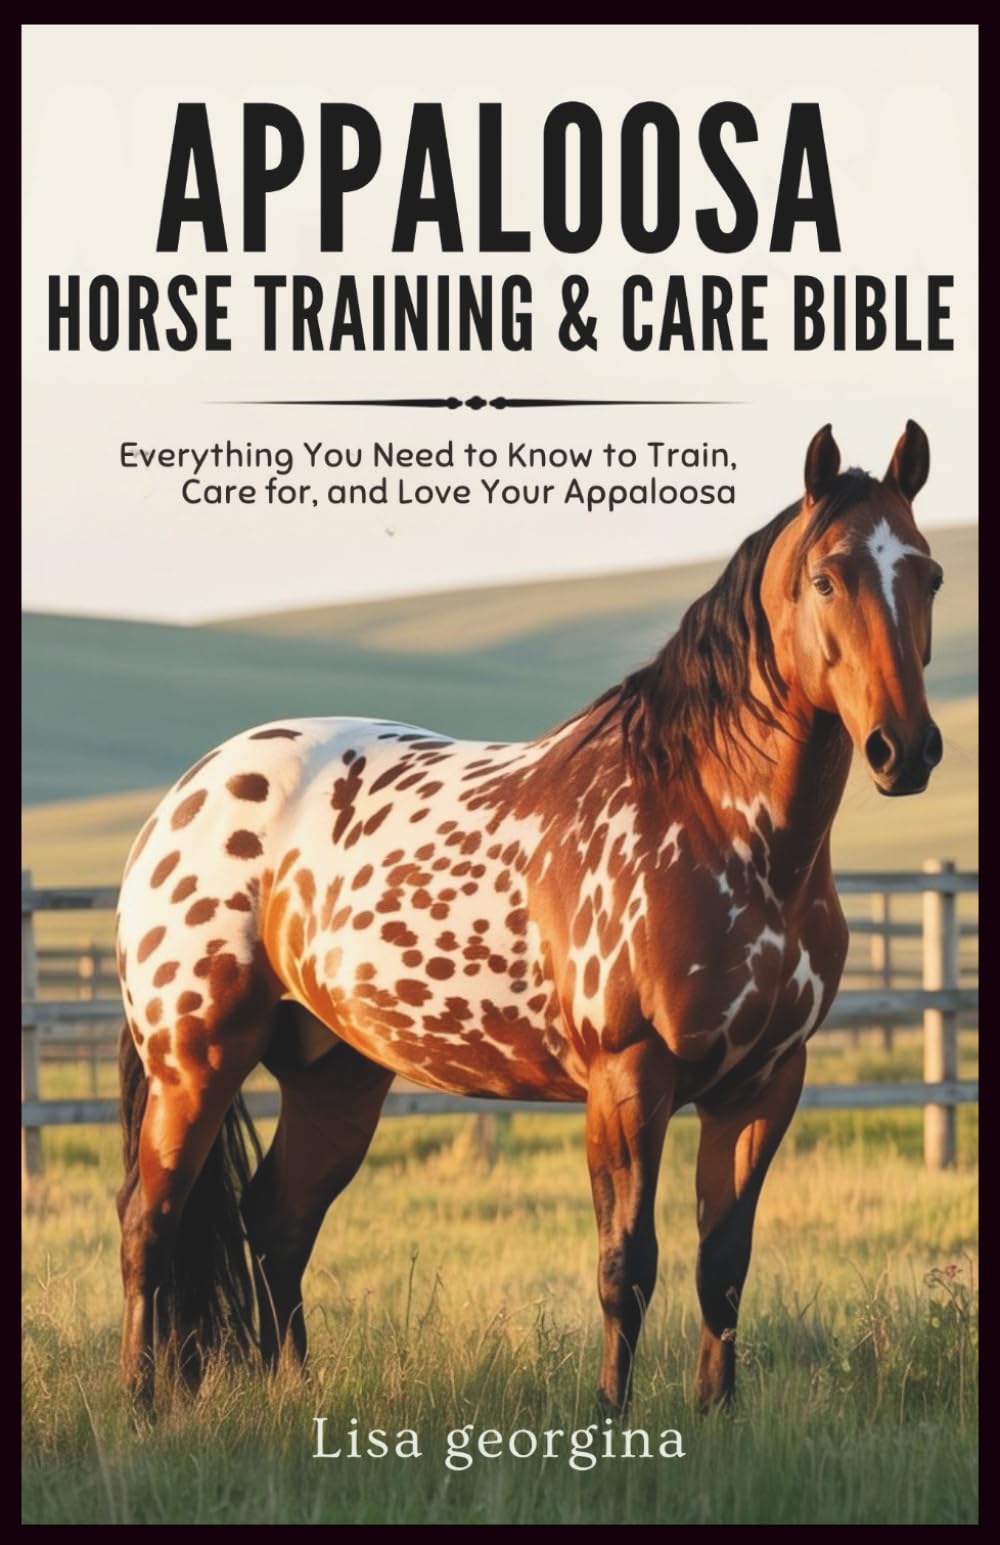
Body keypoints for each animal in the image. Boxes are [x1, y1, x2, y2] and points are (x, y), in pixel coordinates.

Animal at [115, 420, 944, 1413]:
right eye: (826, 576)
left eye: (930, 575)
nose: (906, 749)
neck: (717, 827)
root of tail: (185, 796)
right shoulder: (628, 1077)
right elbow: (627, 1267)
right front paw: (610, 1419)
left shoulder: (764, 1084)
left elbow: (722, 1268)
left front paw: (715, 1416)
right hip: (193, 1063)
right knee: (150, 1222)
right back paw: (139, 1404)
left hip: (335, 1075)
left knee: (277, 1219)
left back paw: (298, 1395)